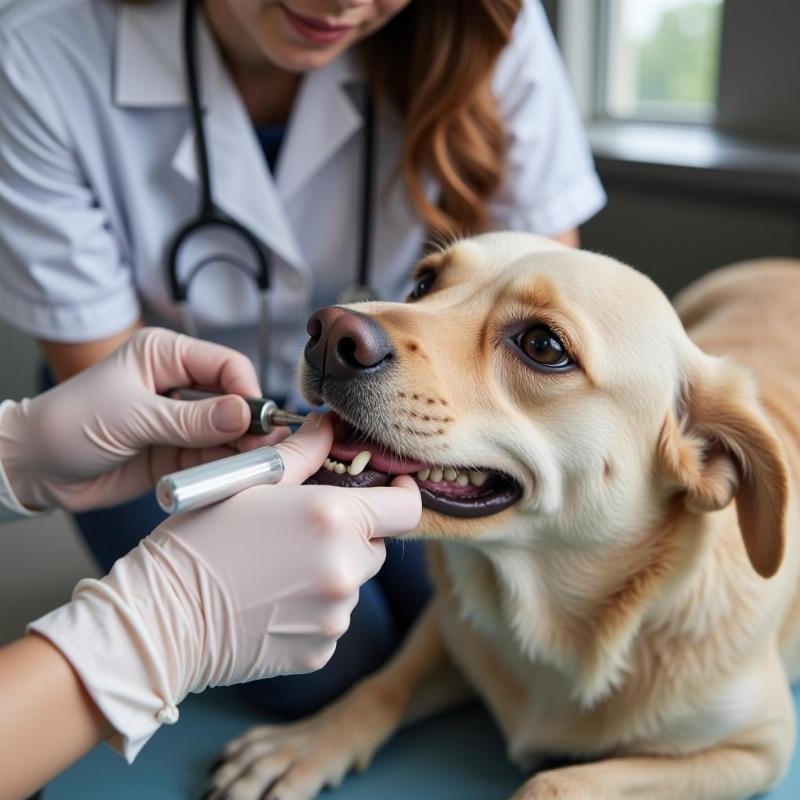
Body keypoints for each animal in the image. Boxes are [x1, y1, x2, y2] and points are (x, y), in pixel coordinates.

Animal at [209, 233, 796, 800]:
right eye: (424, 284)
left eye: (543, 346)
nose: (330, 332)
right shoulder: (448, 626)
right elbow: (380, 687)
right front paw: (305, 744)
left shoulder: (759, 748)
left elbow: (555, 782)